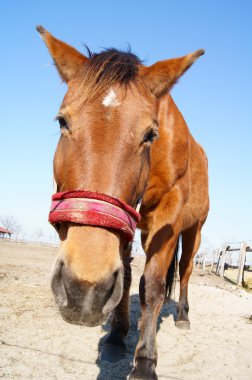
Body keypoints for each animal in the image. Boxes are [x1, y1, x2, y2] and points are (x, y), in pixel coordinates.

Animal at [37, 26, 210, 380]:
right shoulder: (125, 223)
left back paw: (183, 315)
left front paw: (144, 361)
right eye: (62, 121)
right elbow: (128, 276)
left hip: (194, 230)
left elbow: (153, 286)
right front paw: (117, 335)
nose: (83, 290)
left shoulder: (167, 216)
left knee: (185, 272)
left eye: (149, 134)